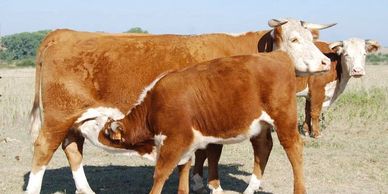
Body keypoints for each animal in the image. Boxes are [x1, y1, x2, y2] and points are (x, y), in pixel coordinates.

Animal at [25, 18, 332, 194]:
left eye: (312, 38)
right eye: (294, 39)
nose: (326, 62)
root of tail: (63, 33)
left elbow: (205, 152)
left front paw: (197, 181)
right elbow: (213, 151)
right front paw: (212, 185)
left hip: (76, 120)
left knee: (72, 149)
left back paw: (86, 190)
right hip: (59, 117)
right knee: (44, 150)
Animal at [190, 37, 378, 192]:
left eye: (364, 54)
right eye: (346, 54)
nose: (357, 70)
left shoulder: (311, 95)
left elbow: (308, 112)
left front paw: (307, 130)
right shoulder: (318, 90)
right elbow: (314, 112)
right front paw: (316, 134)